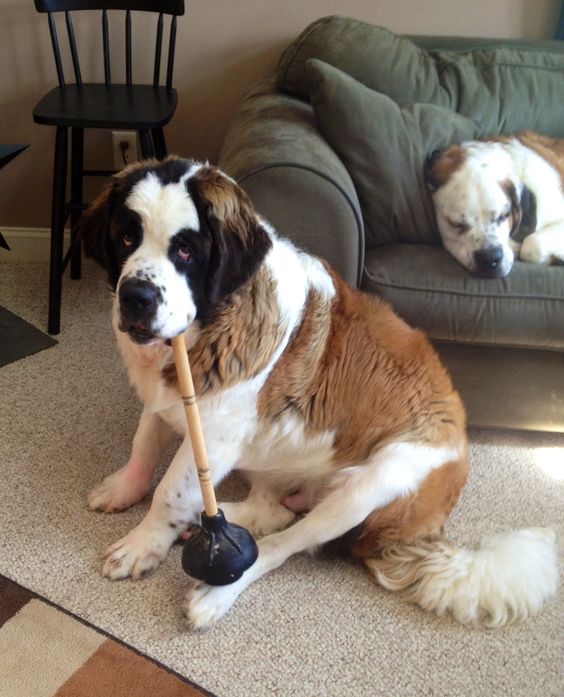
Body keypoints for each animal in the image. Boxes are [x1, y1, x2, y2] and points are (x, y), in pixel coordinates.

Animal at [81, 159, 556, 632]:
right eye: (127, 238)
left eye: (184, 252)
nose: (136, 297)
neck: (209, 324)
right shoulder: (164, 401)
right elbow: (143, 447)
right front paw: (123, 489)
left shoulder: (213, 436)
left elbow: (171, 493)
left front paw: (141, 545)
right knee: (274, 511)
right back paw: (216, 524)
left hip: (373, 484)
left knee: (284, 543)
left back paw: (216, 590)